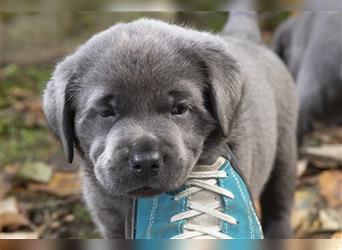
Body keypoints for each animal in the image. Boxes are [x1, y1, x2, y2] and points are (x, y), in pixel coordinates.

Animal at [42, 13, 298, 238]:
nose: (145, 161)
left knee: (280, 205)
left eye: (179, 109)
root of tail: (245, 36)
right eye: (106, 113)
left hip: (284, 151)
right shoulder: (109, 221)